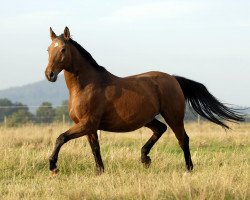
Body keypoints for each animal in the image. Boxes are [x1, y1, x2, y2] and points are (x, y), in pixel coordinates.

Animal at [45, 27, 244, 175]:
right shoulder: (89, 127)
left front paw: (53, 166)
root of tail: (173, 79)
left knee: (183, 139)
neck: (87, 85)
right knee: (160, 129)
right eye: (48, 49)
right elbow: (95, 148)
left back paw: (188, 169)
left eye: (62, 49)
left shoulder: (87, 123)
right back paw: (145, 158)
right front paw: (100, 171)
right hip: (147, 118)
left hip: (173, 116)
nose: (49, 74)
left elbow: (61, 137)